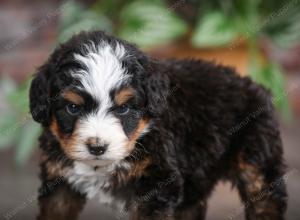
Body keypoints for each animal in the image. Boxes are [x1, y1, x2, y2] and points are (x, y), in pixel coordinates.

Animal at [29, 30, 288, 219]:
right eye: (73, 108)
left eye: (123, 108)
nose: (97, 147)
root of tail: (254, 85)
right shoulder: (59, 181)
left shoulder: (157, 185)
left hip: (257, 161)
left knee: (266, 200)